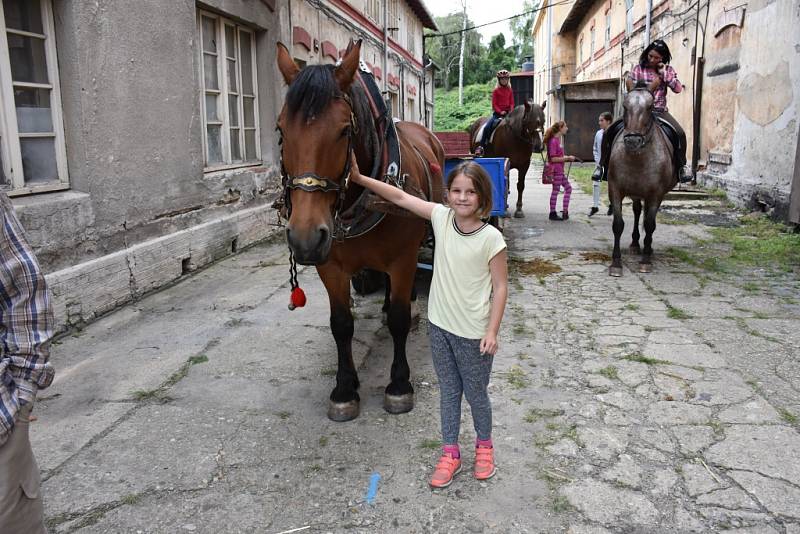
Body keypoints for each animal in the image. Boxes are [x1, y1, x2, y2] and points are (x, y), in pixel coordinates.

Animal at [278, 40, 446, 422]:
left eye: (344, 130)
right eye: (280, 129)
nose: (304, 239)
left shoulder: (403, 259)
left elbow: (399, 319)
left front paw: (399, 384)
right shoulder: (330, 265)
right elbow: (341, 323)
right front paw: (344, 388)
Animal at [608, 88, 676, 278]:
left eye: (651, 106)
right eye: (625, 106)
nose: (633, 140)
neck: (637, 158)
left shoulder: (656, 194)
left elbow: (650, 224)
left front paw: (645, 261)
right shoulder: (615, 189)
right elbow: (618, 225)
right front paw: (616, 263)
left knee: (646, 218)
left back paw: (647, 248)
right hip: (636, 193)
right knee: (638, 211)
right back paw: (635, 244)